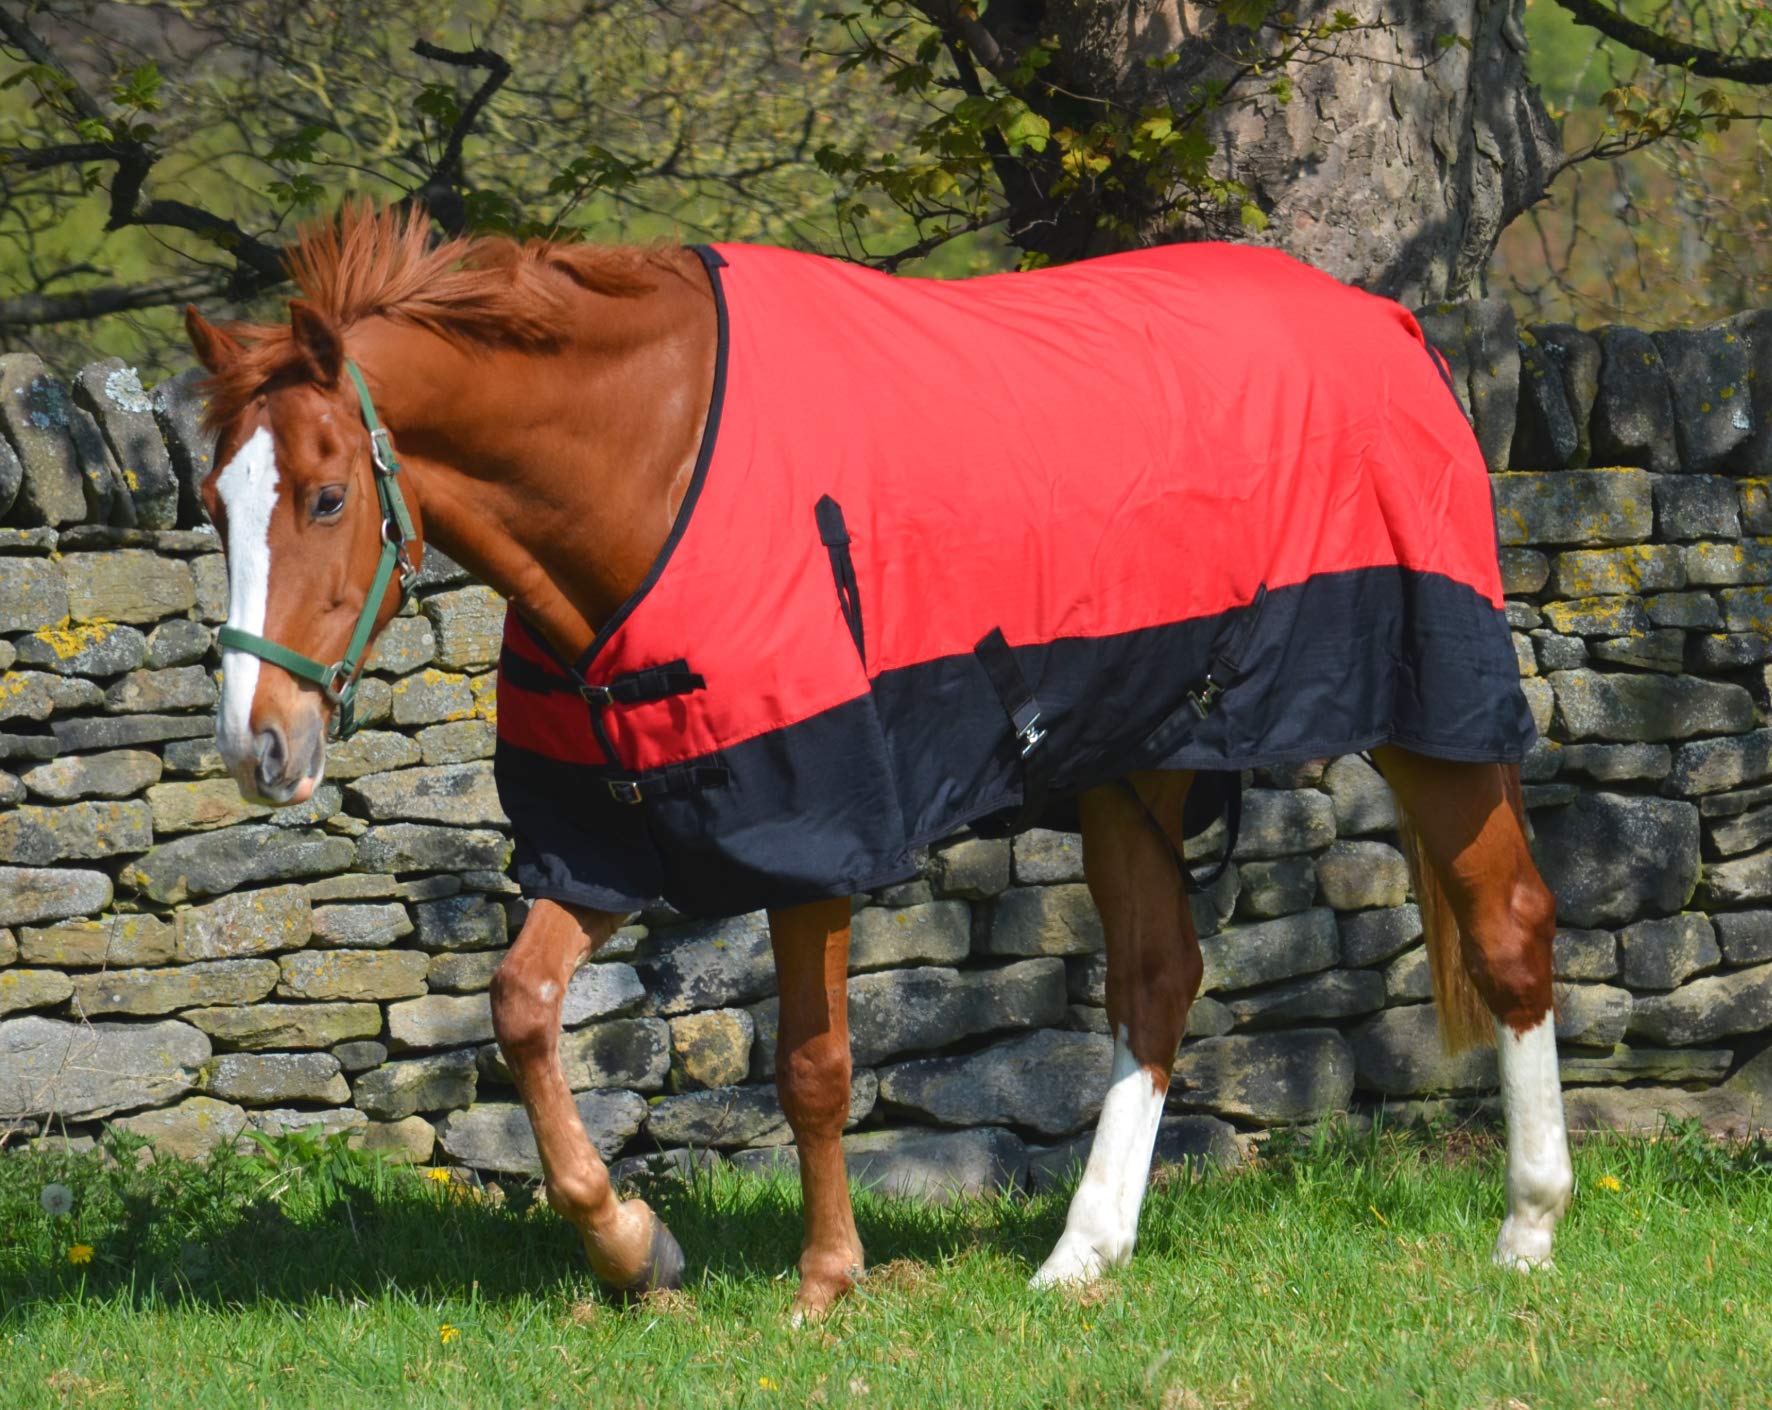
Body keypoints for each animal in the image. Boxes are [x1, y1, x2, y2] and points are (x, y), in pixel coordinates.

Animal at [185, 204, 1572, 1320]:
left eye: (324, 498)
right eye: (212, 504)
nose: (259, 747)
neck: (650, 468)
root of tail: (1389, 326)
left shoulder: (814, 833)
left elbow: (813, 1067)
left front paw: (823, 1282)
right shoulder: (611, 834)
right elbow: (521, 1008)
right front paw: (636, 1252)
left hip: (1426, 710)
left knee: (1507, 927)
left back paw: (1527, 1228)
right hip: (1137, 759)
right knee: (1156, 981)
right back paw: (1080, 1256)